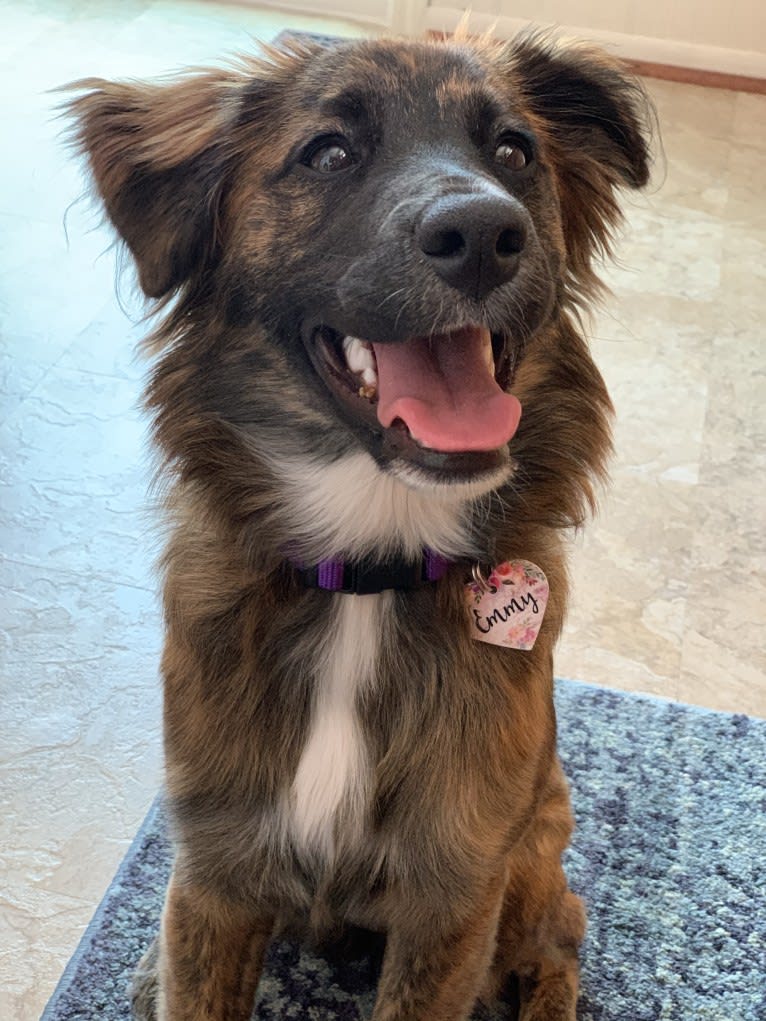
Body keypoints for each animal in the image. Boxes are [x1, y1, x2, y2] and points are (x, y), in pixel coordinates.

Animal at [67, 29, 653, 1021]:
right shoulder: (218, 860)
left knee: (561, 940)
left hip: (534, 853)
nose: (483, 235)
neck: (369, 569)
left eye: (514, 152)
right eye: (330, 153)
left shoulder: (455, 893)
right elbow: (196, 970)